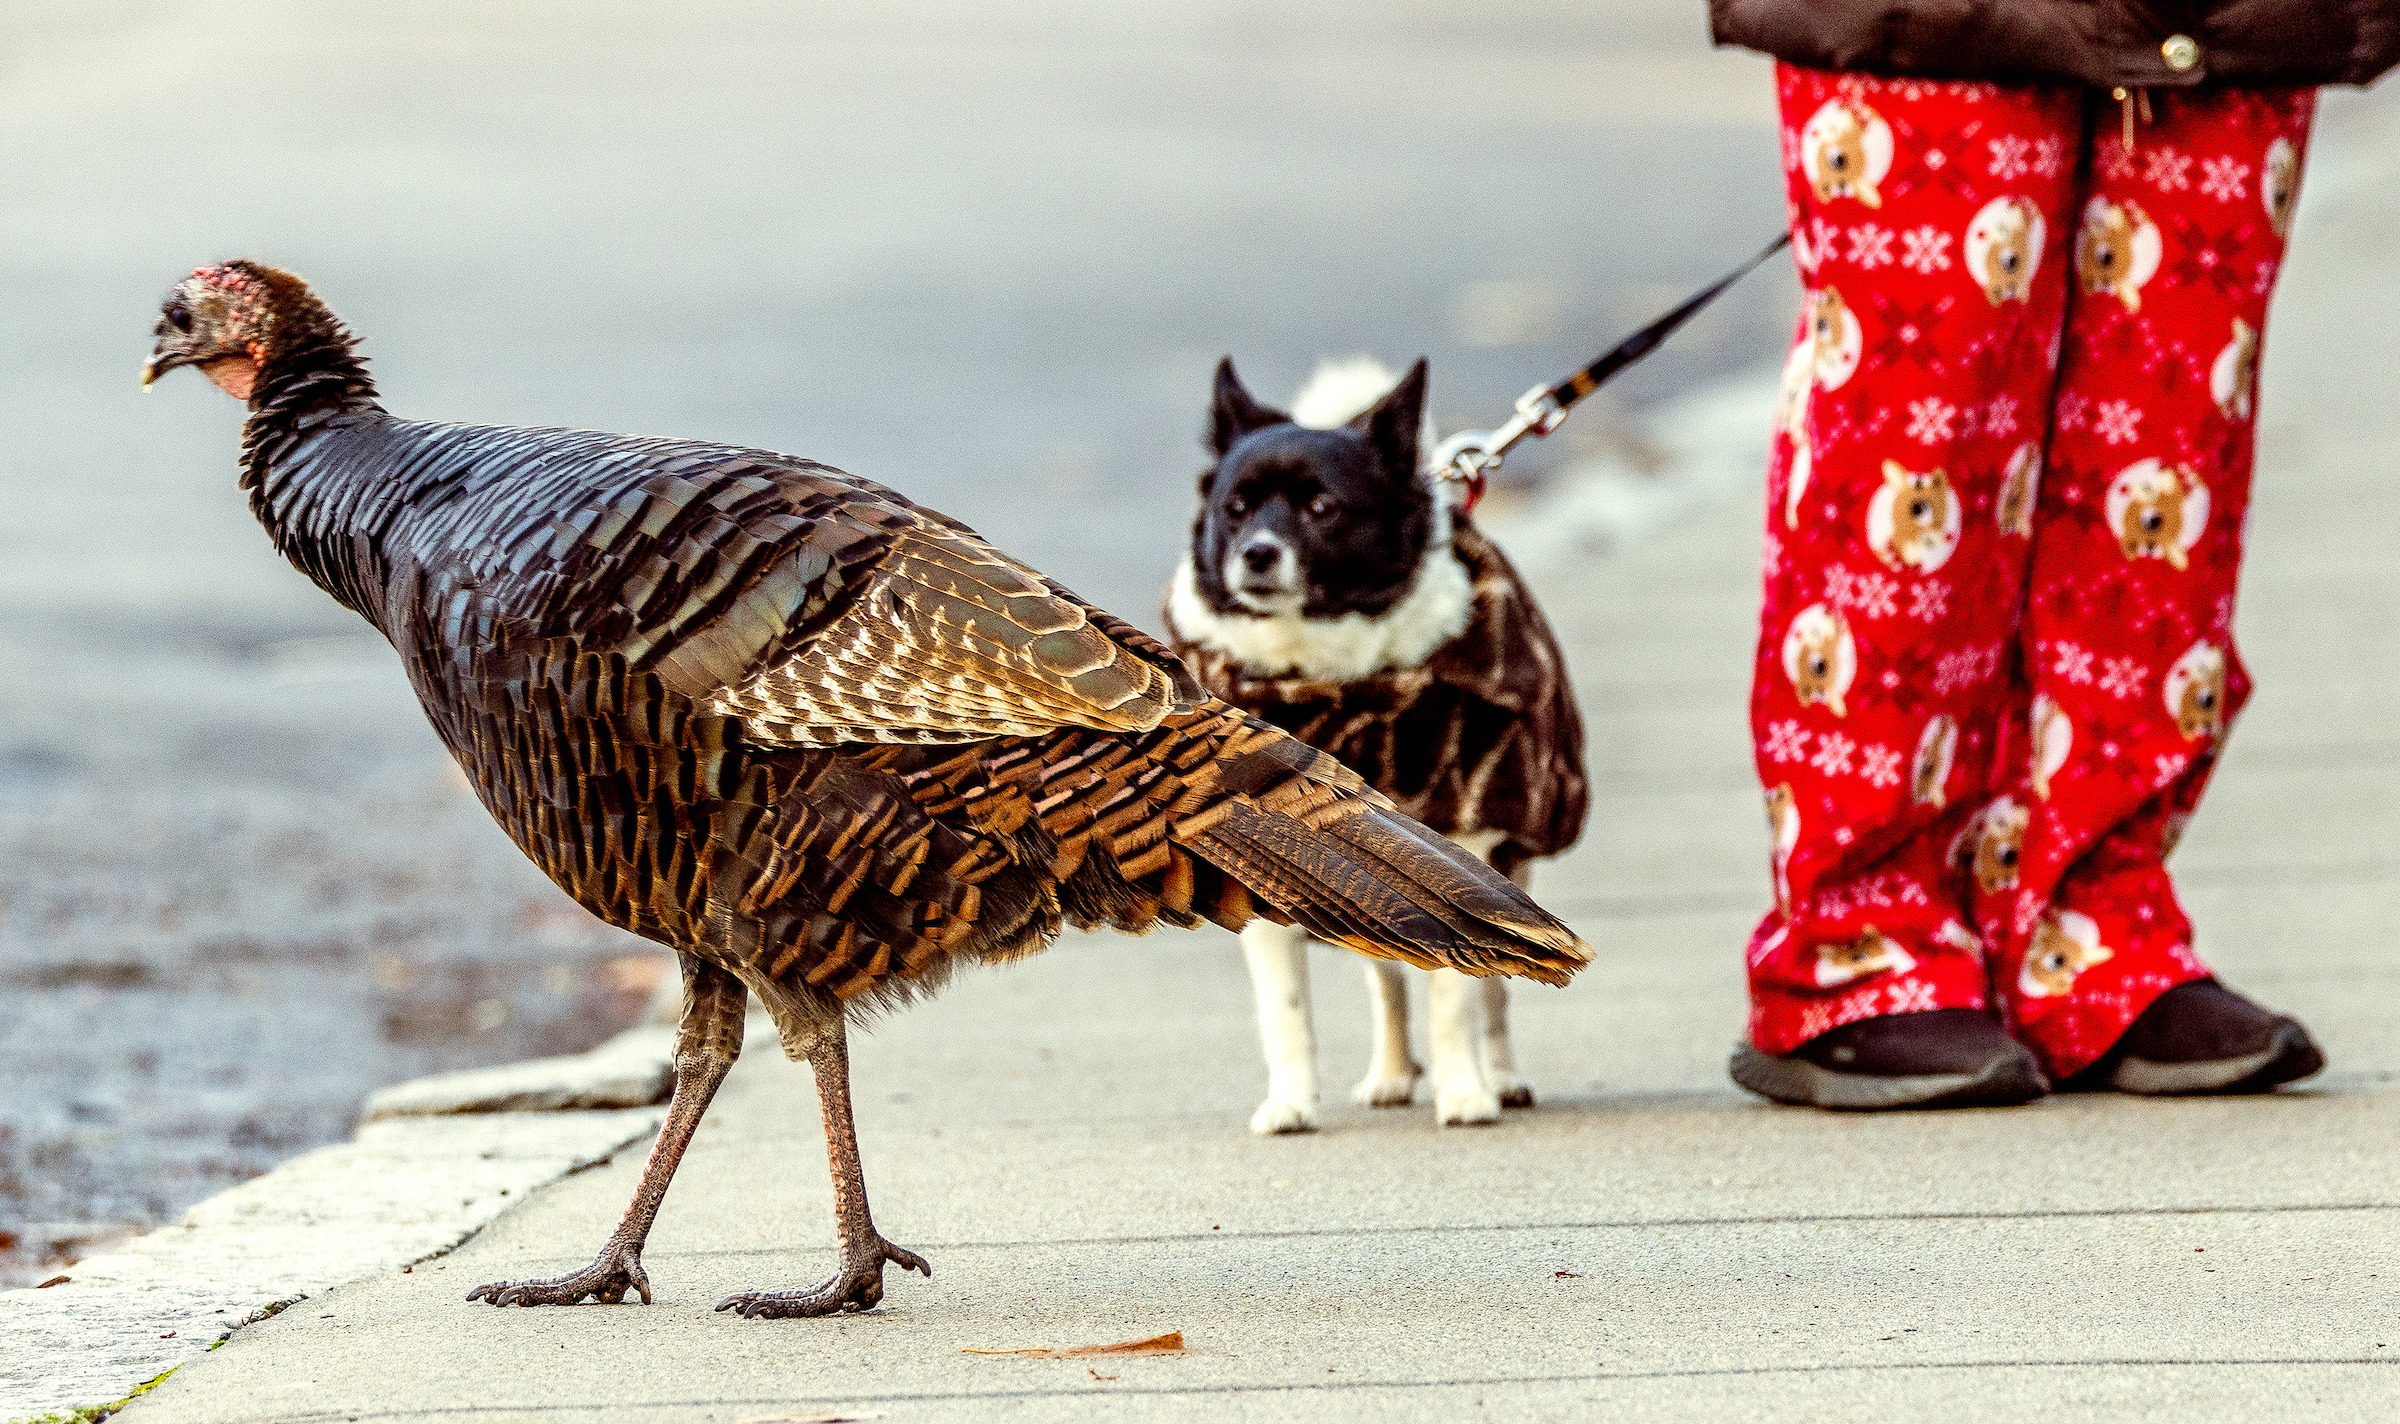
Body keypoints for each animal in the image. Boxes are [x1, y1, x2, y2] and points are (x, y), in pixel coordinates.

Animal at [1166, 357, 1593, 1133]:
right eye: (1235, 509)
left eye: (1323, 509)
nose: (1256, 553)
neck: (1325, 676)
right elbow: (1286, 1012)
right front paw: (1290, 1103)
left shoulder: (1465, 846)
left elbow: (1459, 997)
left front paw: (1465, 1092)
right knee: (1389, 980)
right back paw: (1392, 1075)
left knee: (1495, 993)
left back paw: (1501, 1076)